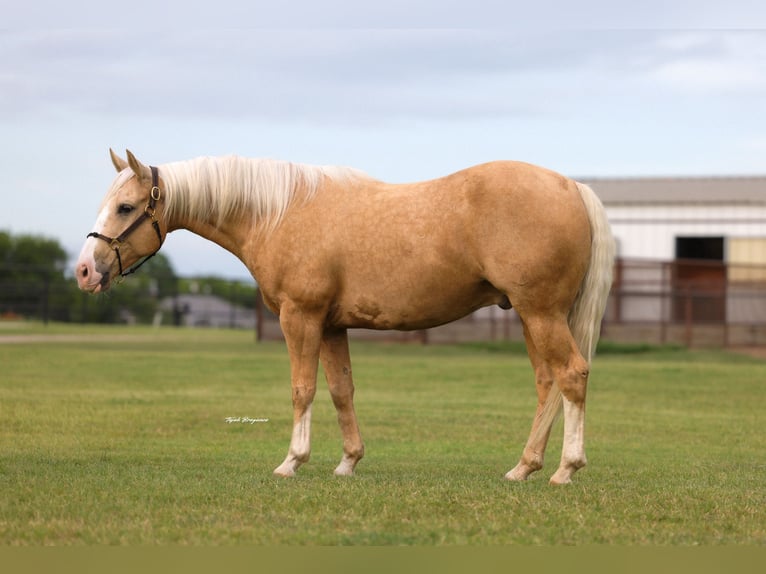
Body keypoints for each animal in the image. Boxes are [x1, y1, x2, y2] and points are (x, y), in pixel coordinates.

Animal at [75, 149, 614, 484]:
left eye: (125, 207)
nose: (84, 271)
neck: (277, 213)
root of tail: (571, 186)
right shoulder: (332, 324)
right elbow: (340, 390)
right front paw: (348, 463)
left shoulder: (301, 317)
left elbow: (303, 389)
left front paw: (292, 462)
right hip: (531, 316)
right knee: (547, 383)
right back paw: (524, 467)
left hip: (541, 313)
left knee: (572, 374)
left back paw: (566, 469)